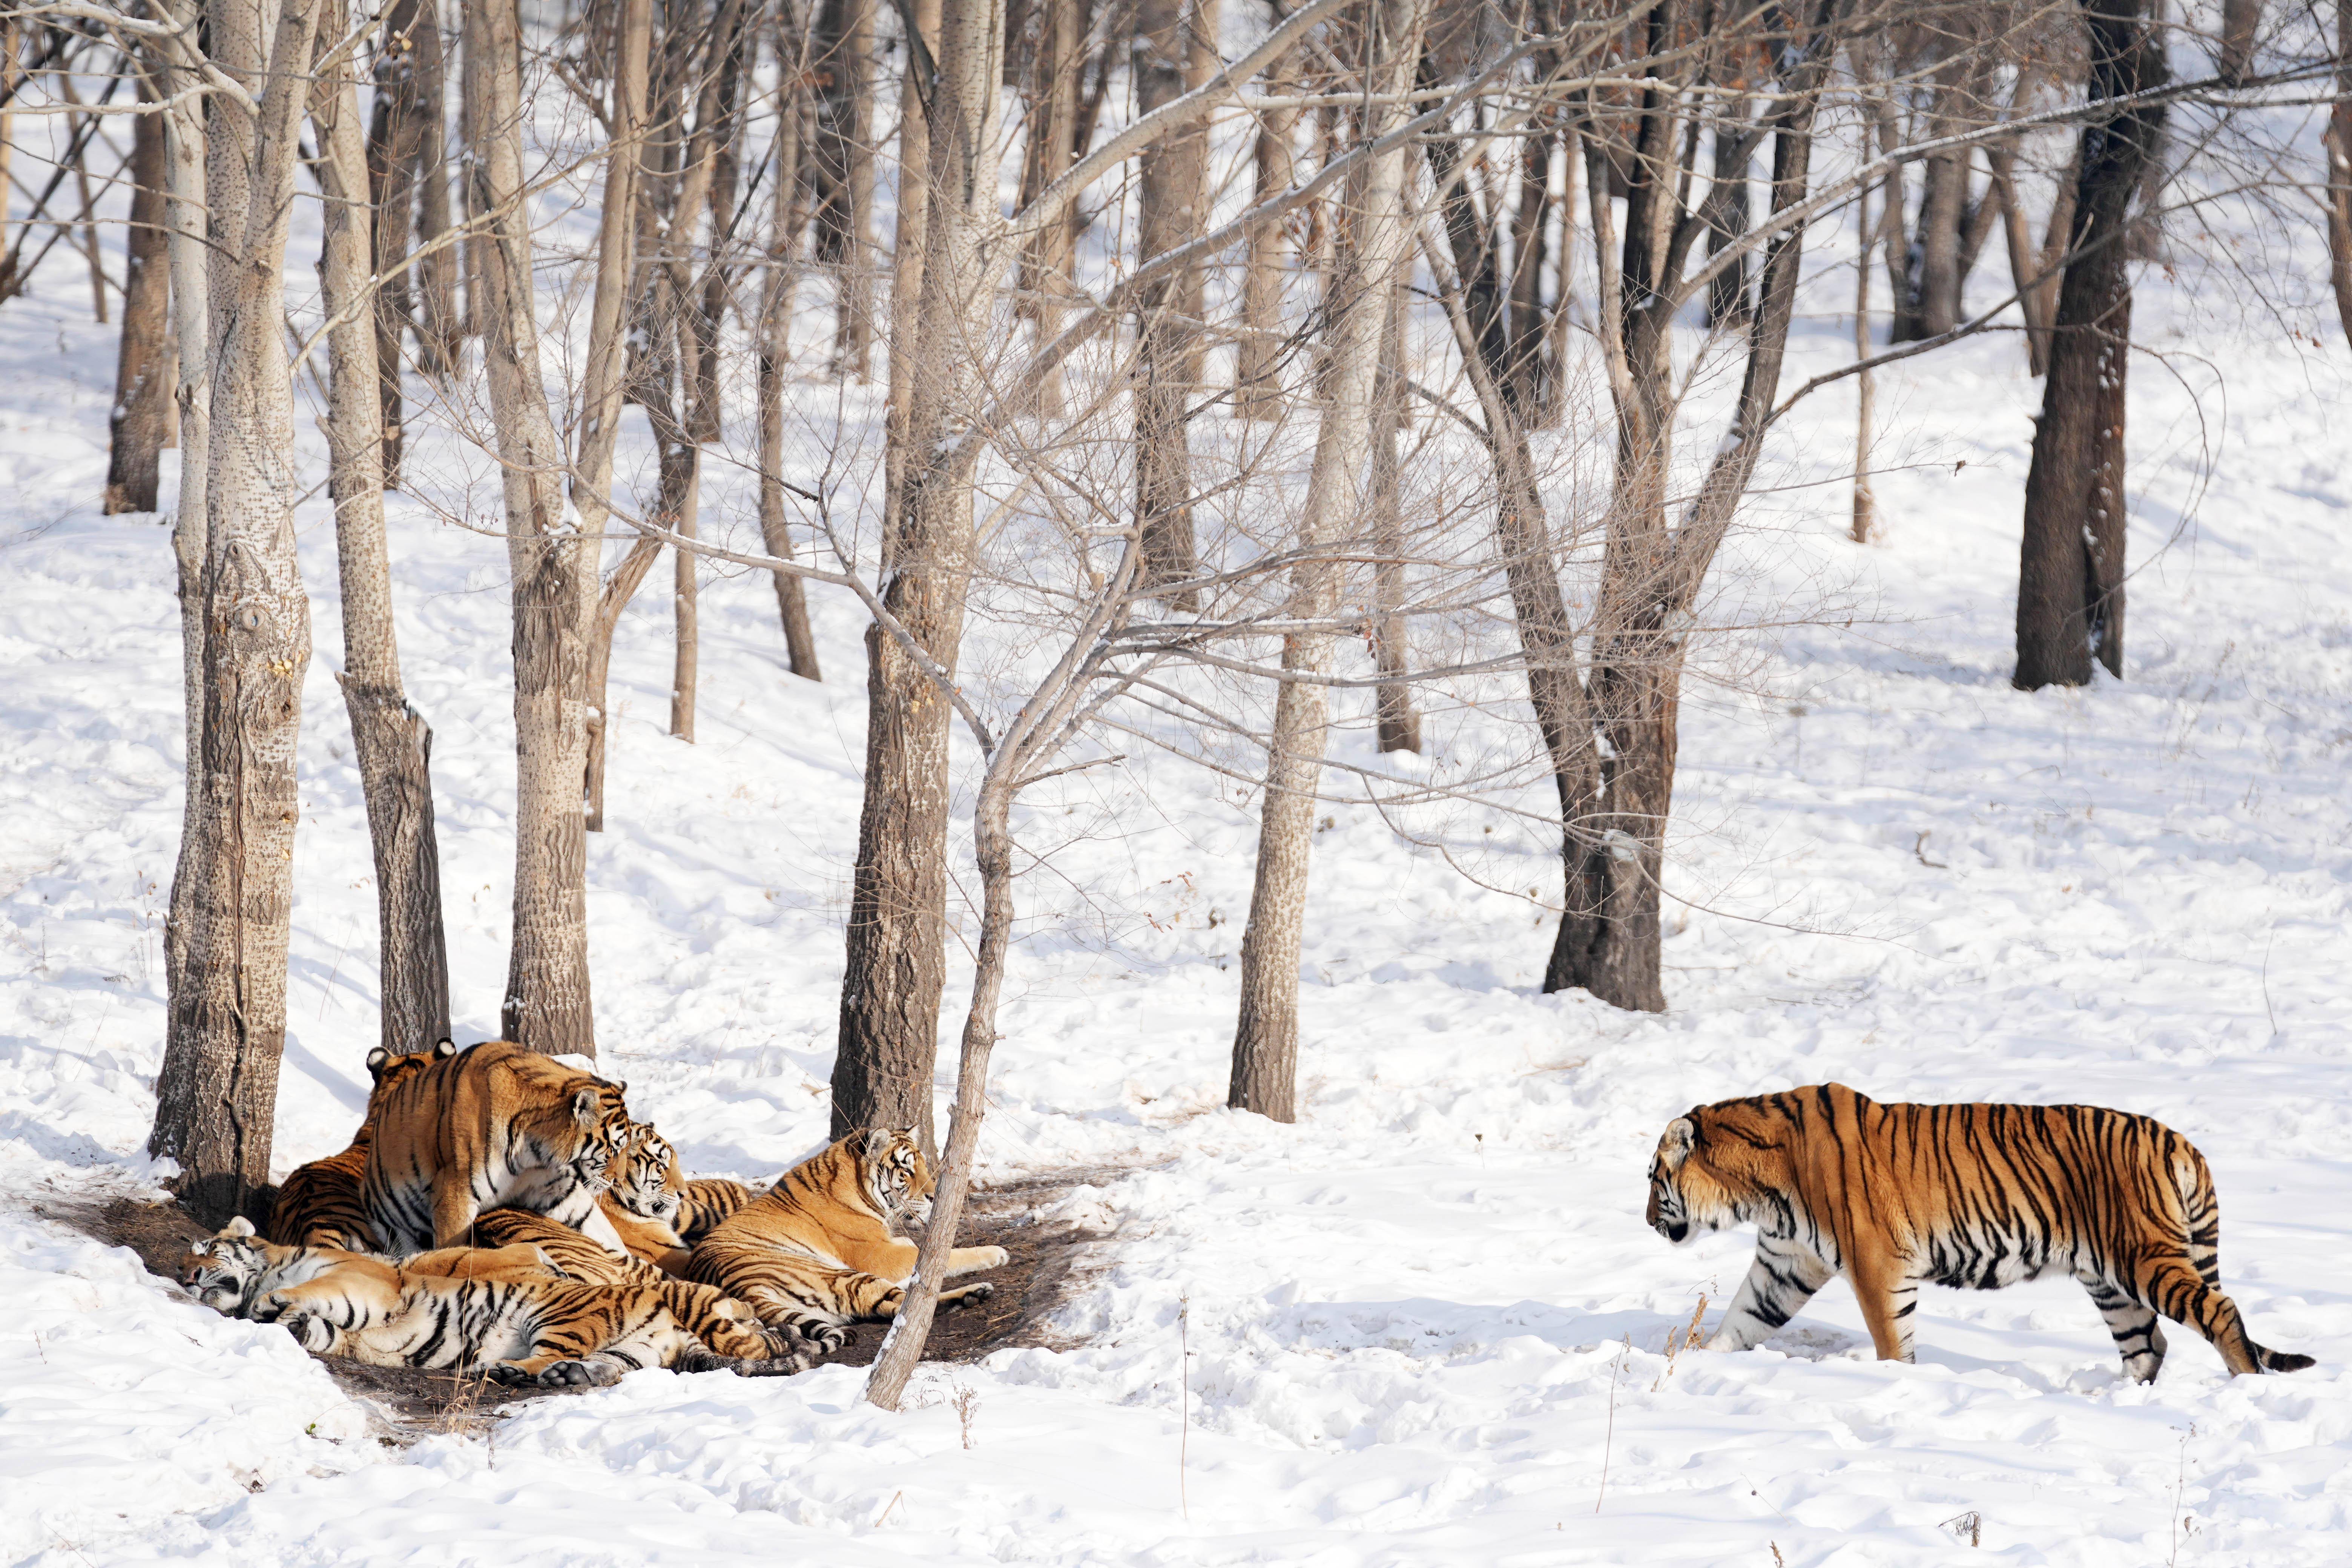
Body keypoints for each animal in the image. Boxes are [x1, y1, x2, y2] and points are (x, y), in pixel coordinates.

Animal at [179, 1213, 814, 1382]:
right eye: (186, 1258)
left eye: (204, 1247)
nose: (186, 1276)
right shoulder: (343, 1327)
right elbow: (318, 1328)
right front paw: (281, 1320)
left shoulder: (362, 1281)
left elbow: (311, 1291)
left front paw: (274, 1304)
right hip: (635, 1349)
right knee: (603, 1366)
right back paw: (567, 1376)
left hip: (558, 1316)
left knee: (548, 1353)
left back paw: (511, 1370)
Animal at [360, 1034, 635, 1260]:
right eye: (614, 1149)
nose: (619, 1180)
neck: (535, 1153)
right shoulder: (454, 1194)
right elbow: (453, 1246)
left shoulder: (555, 1186)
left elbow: (601, 1228)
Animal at [687, 1128, 1006, 1354]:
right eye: (906, 1171)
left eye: (925, 1166)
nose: (932, 1197)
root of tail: (744, 1290)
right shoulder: (878, 1257)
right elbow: (945, 1255)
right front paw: (996, 1253)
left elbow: (911, 1245)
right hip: (844, 1275)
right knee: (910, 1309)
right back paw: (976, 1292)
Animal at [1646, 1086, 2324, 1382]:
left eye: (1654, 1180)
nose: (1650, 1222)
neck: (1761, 1191)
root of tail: (2182, 1141)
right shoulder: (1785, 1263)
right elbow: (1742, 1319)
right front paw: (1700, 1362)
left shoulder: (1876, 1262)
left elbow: (1892, 1339)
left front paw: (1899, 1386)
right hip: (2110, 1281)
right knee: (2147, 1344)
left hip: (2145, 1259)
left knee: (2220, 1311)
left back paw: (2243, 1387)